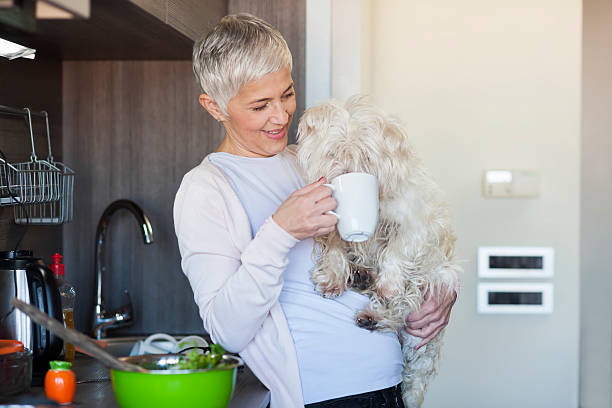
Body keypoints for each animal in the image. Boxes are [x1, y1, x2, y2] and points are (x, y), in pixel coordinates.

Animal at [296, 96, 460, 408]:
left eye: (366, 156)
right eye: (334, 152)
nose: (345, 175)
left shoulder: (415, 225)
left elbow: (395, 254)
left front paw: (387, 285)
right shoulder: (331, 221)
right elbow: (335, 245)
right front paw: (332, 278)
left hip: (436, 277)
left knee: (404, 308)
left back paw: (375, 314)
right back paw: (362, 278)